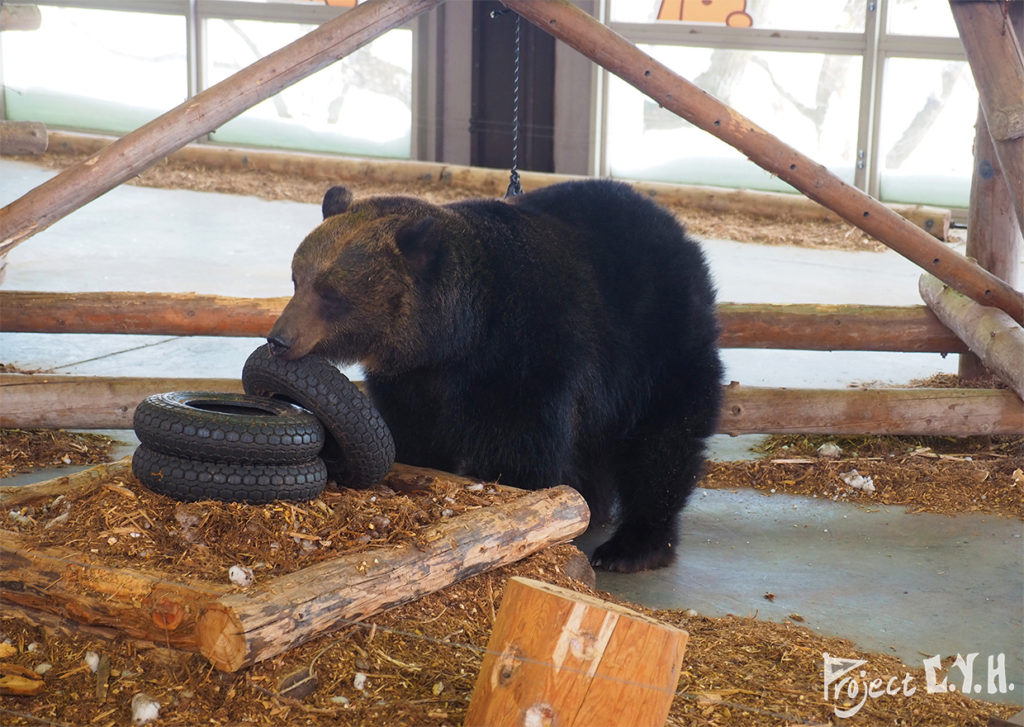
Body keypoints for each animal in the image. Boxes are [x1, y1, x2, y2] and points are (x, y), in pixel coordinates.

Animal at [268, 179, 724, 573]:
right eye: (297, 278)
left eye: (331, 293)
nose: (279, 338)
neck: (460, 336)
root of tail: (671, 226)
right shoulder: (415, 380)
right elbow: (415, 434)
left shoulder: (525, 360)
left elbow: (520, 448)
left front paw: (525, 503)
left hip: (659, 344)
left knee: (663, 441)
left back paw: (633, 546)